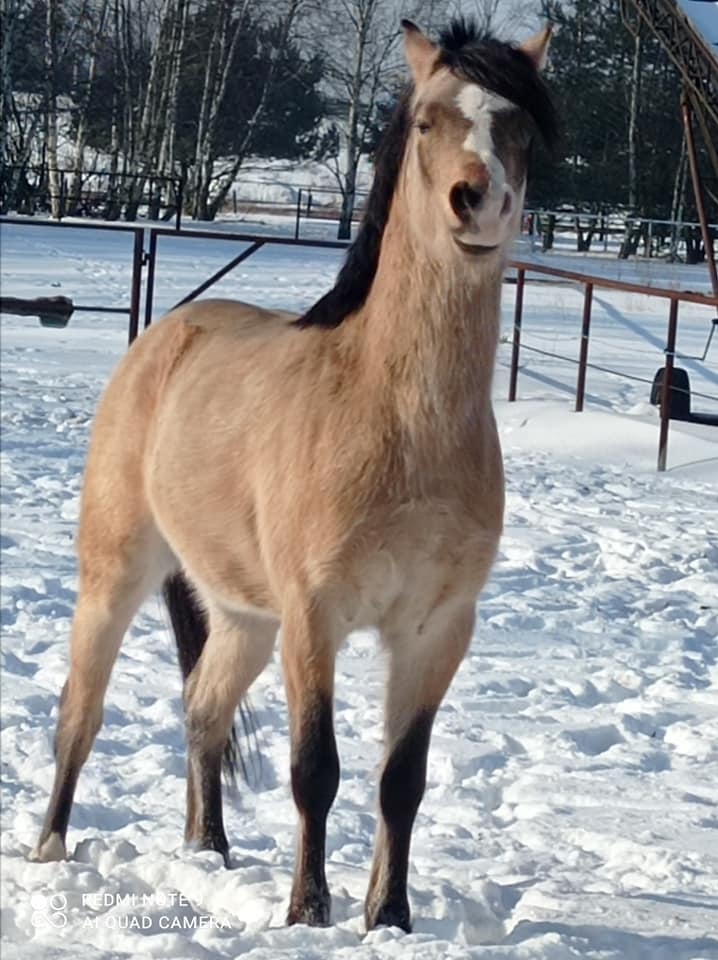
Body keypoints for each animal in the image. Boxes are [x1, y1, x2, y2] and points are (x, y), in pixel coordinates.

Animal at [31, 19, 557, 933]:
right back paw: (52, 849)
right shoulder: (315, 618)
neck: (398, 419)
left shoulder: (436, 631)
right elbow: (318, 768)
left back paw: (209, 850)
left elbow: (401, 781)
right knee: (81, 713)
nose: (475, 200)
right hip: (117, 575)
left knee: (203, 710)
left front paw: (390, 918)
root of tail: (167, 333)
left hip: (242, 615)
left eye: (519, 124)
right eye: (428, 121)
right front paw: (308, 911)